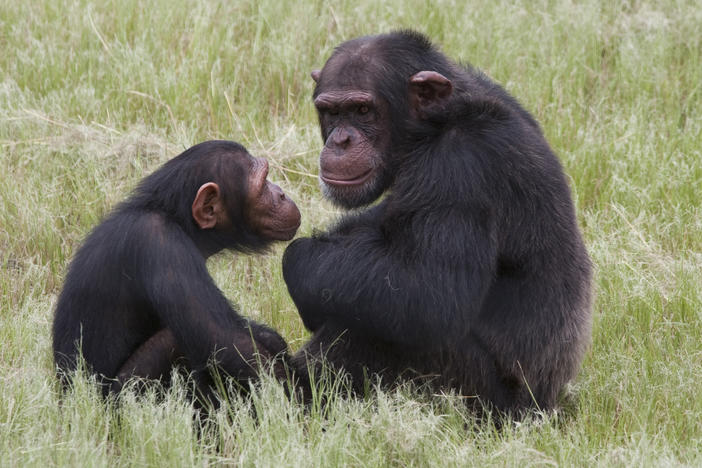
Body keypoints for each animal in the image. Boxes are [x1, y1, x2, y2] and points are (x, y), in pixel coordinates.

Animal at [51, 140, 300, 398]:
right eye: (263, 184)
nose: (281, 193)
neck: (176, 219)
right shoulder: (162, 244)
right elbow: (226, 341)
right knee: (172, 340)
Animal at [280, 31, 592, 414]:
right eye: (331, 112)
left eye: (363, 110)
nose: (341, 140)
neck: (437, 124)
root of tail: (548, 404)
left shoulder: (459, 169)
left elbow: (430, 292)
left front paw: (298, 258)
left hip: (479, 397)